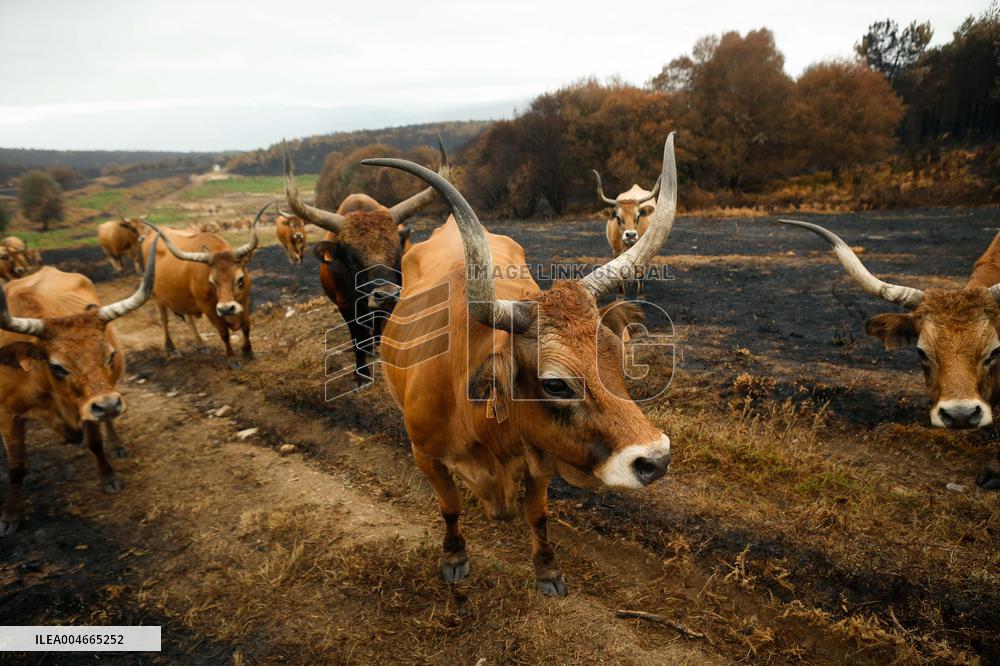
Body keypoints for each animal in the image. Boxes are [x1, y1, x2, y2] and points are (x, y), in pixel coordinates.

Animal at [0, 239, 158, 535]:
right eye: (57, 366)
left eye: (109, 355)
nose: (108, 404)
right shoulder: (7, 414)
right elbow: (16, 466)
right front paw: (12, 515)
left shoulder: (87, 406)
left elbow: (95, 442)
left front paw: (108, 477)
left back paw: (116, 445)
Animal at [141, 202, 270, 369]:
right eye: (212, 282)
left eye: (240, 279)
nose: (226, 309)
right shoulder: (209, 308)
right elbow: (224, 333)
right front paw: (232, 359)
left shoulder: (244, 300)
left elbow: (246, 326)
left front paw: (248, 351)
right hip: (156, 296)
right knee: (164, 319)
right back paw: (170, 348)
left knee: (189, 318)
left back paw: (201, 345)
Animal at [283, 137, 449, 386]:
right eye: (352, 261)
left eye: (397, 254)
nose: (387, 295)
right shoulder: (345, 306)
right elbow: (356, 337)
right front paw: (361, 373)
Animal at [362, 134, 678, 596]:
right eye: (555, 384)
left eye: (617, 359)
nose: (656, 460)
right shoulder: (425, 456)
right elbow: (450, 506)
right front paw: (454, 556)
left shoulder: (540, 454)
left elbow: (538, 515)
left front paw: (547, 570)